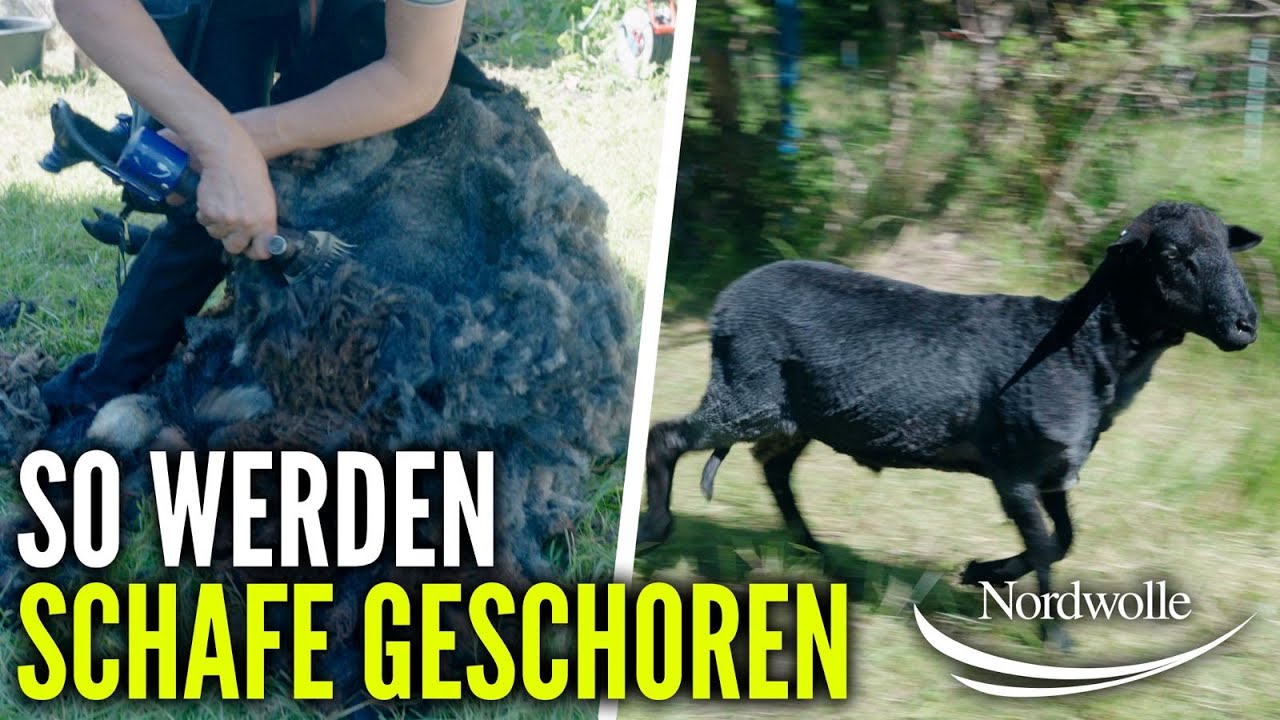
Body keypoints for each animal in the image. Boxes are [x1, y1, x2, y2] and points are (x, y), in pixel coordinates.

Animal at [638, 201, 1262, 647]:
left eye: (1229, 251)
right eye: (1174, 255)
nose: (1246, 325)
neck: (1085, 346)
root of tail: (727, 302)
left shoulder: (1054, 468)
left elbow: (1062, 540)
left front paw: (986, 573)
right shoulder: (1014, 470)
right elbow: (1044, 544)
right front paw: (1053, 635)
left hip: (796, 416)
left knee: (774, 471)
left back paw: (817, 555)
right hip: (747, 397)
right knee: (666, 438)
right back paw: (656, 531)